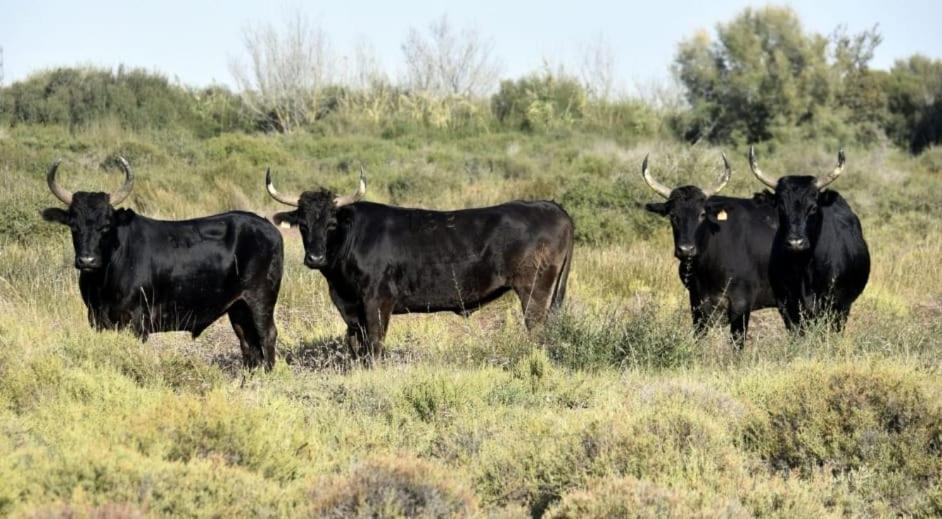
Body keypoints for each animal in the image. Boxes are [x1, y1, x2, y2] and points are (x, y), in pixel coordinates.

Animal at [40, 158, 282, 370]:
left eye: (106, 225)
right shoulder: (97, 318)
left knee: (267, 336)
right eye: (74, 225)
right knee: (248, 344)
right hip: (238, 308)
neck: (103, 279)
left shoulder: (136, 323)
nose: (87, 260)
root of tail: (267, 226)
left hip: (260, 300)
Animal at [266, 171, 576, 362]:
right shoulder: (350, 307)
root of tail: (550, 206)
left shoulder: (377, 301)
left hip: (534, 291)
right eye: (303, 224)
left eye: (331, 224)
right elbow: (355, 344)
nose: (315, 258)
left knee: (537, 329)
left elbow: (374, 344)